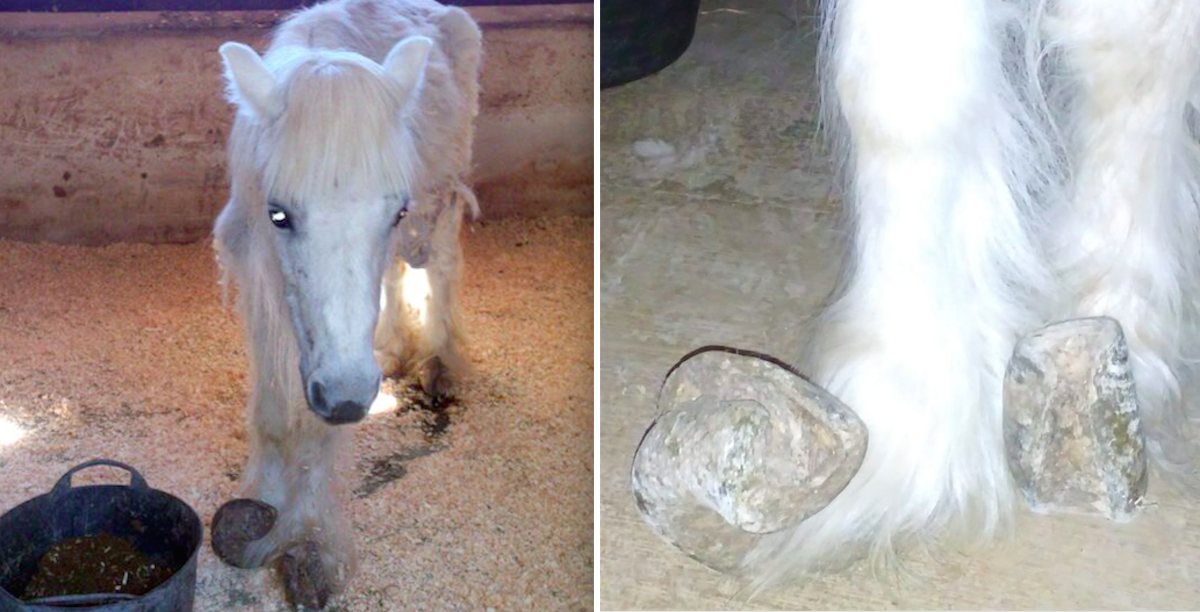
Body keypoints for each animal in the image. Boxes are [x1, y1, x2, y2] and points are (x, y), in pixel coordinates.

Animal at [210, 0, 481, 607]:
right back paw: (399, 351)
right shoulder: (261, 286)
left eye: (394, 210)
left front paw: (308, 545)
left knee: (439, 269)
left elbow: (315, 435)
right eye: (279, 213)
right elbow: (273, 411)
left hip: (443, 203)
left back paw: (438, 364)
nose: (350, 397)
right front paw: (263, 504)